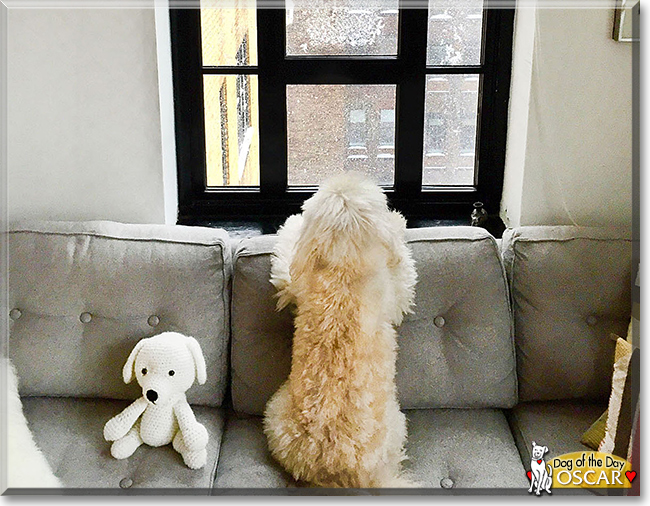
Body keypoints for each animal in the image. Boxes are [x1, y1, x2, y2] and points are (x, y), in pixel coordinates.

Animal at [262, 172, 416, 488]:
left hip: (274, 417)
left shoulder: (296, 284)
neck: (343, 268)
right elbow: (405, 274)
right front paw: (398, 223)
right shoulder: (396, 292)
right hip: (397, 421)